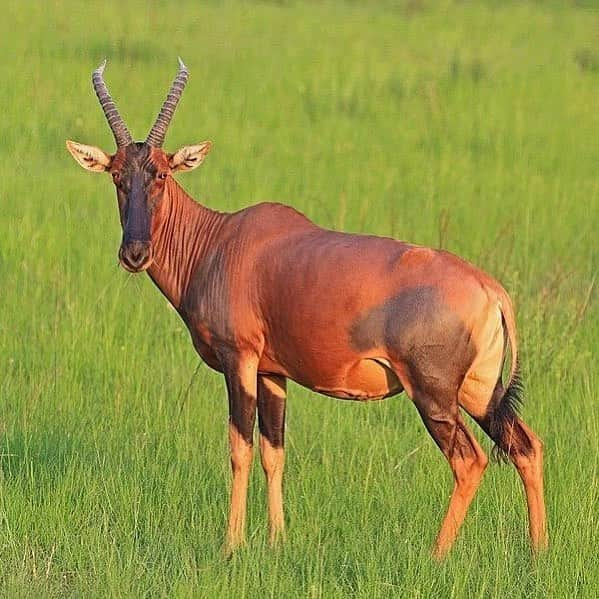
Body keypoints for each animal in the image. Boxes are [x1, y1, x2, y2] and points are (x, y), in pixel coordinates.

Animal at [67, 58, 548, 560]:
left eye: (161, 173)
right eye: (117, 176)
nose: (135, 253)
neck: (220, 240)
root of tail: (490, 289)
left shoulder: (239, 360)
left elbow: (239, 448)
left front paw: (231, 545)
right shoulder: (272, 372)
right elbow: (273, 451)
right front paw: (277, 540)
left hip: (433, 394)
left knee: (469, 460)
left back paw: (436, 556)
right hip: (479, 391)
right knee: (526, 446)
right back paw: (538, 552)